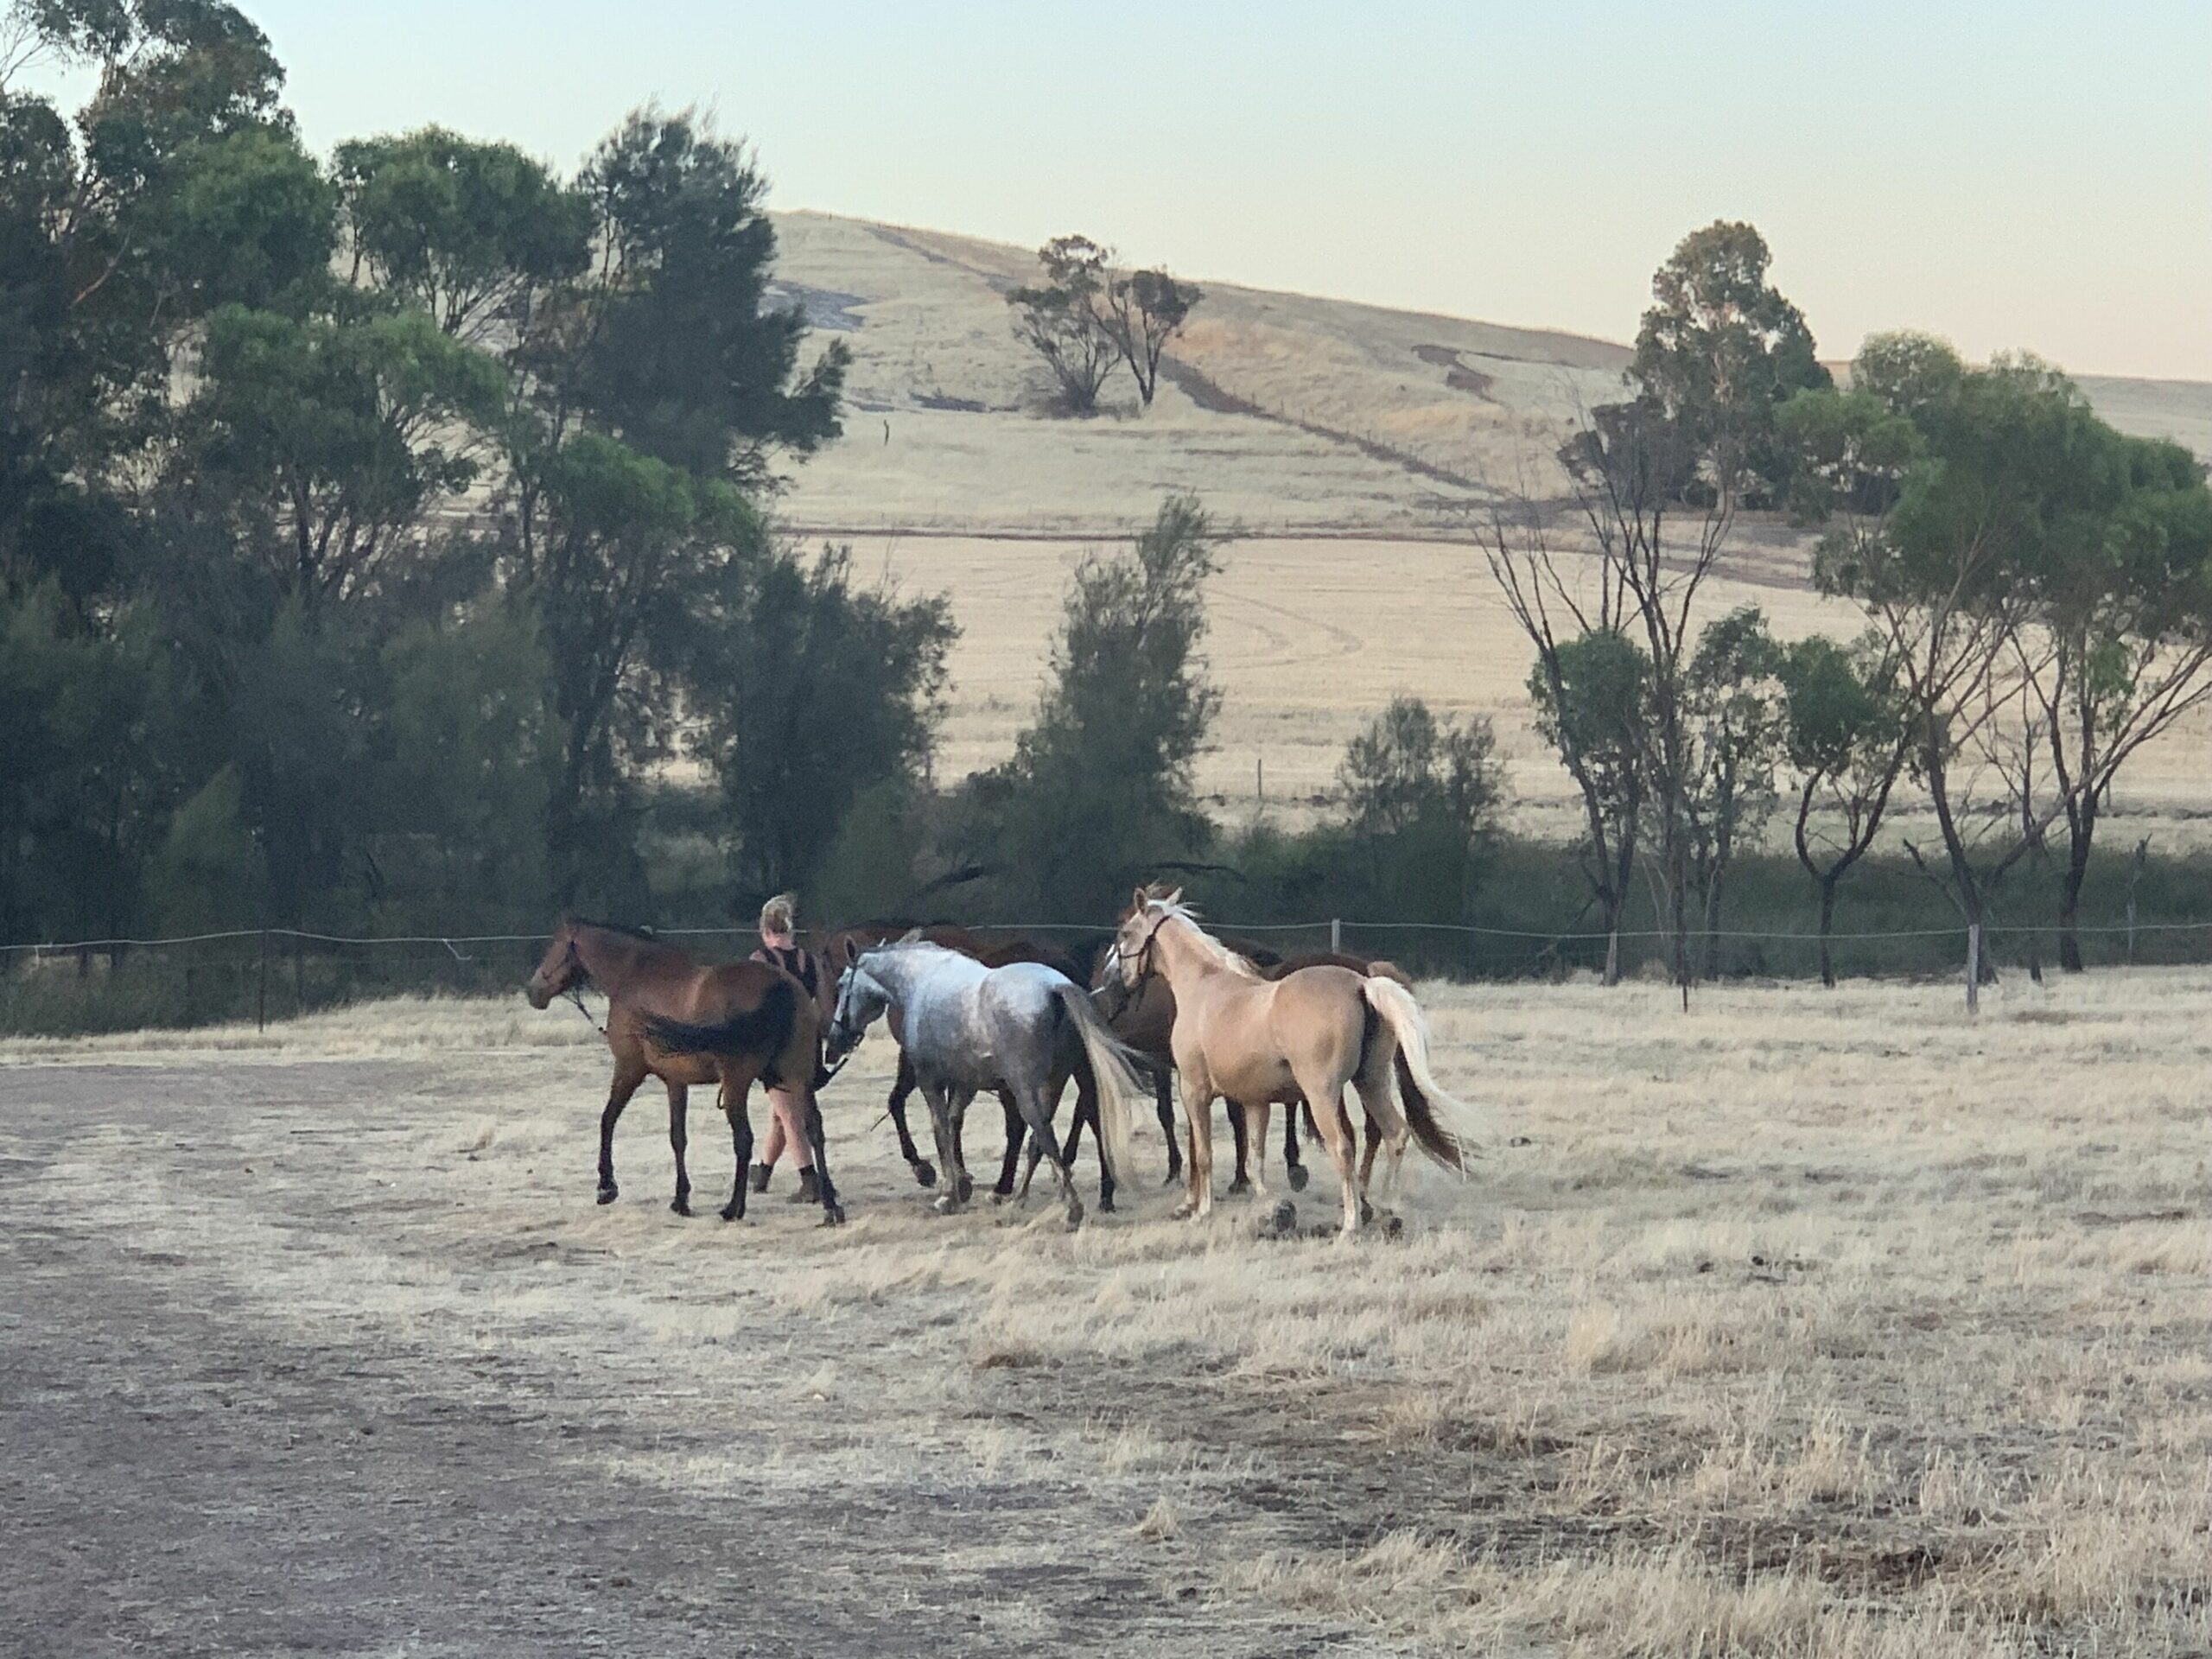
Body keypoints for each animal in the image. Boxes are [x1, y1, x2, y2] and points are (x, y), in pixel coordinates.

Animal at [522, 925, 849, 1238]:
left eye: (554, 947)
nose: (533, 991)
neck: (634, 977)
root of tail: (781, 986)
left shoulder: (629, 1070)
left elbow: (608, 1120)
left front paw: (606, 1187)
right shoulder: (675, 1082)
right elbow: (678, 1138)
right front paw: (681, 1200)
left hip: (737, 1083)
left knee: (744, 1139)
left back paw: (734, 1208)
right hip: (797, 1077)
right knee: (813, 1129)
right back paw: (831, 1207)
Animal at [823, 942, 1150, 1230]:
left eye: (841, 984)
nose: (835, 1042)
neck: (921, 982)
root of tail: (1055, 988)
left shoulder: (930, 1082)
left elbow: (941, 1129)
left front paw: (947, 1195)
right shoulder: (965, 1084)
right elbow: (953, 1124)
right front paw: (961, 1184)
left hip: (1025, 1089)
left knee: (1043, 1135)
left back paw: (1070, 1209)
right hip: (1056, 1084)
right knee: (1040, 1140)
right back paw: (1019, 1200)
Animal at [1106, 898, 1486, 1238]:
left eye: (1125, 932)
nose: (1113, 977)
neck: (1205, 988)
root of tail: (1363, 983)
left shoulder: (1195, 1092)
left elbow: (1204, 1154)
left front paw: (1201, 1212)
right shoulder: (1255, 1102)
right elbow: (1255, 1161)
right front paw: (1271, 1209)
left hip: (1322, 1095)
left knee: (1344, 1147)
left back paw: (1351, 1223)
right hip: (1371, 1083)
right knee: (1395, 1134)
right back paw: (1388, 1212)